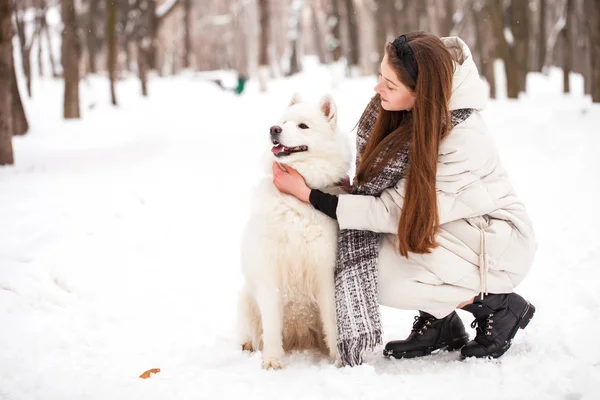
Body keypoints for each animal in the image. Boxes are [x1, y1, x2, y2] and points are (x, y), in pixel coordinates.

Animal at [238, 93, 352, 368]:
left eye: (303, 126)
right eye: (283, 122)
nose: (273, 129)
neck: (298, 202)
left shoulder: (325, 272)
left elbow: (333, 322)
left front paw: (339, 360)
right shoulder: (270, 273)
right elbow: (270, 325)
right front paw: (271, 360)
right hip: (245, 297)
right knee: (251, 330)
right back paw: (248, 344)